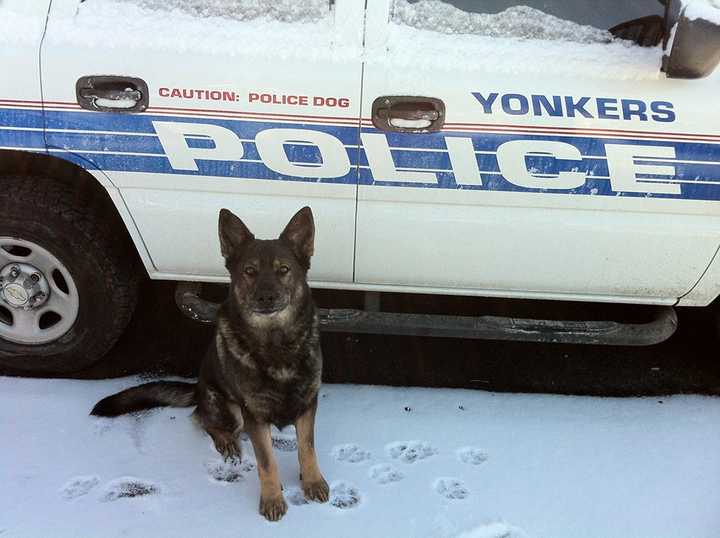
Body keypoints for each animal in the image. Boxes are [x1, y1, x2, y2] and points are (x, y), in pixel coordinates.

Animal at [90, 206, 330, 520]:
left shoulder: (308, 403)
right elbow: (267, 462)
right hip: (229, 407)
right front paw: (272, 498)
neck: (276, 343)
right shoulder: (253, 414)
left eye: (284, 270)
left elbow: (307, 447)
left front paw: (312, 481)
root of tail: (198, 387)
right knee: (203, 419)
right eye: (249, 272)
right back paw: (226, 440)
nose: (266, 297)